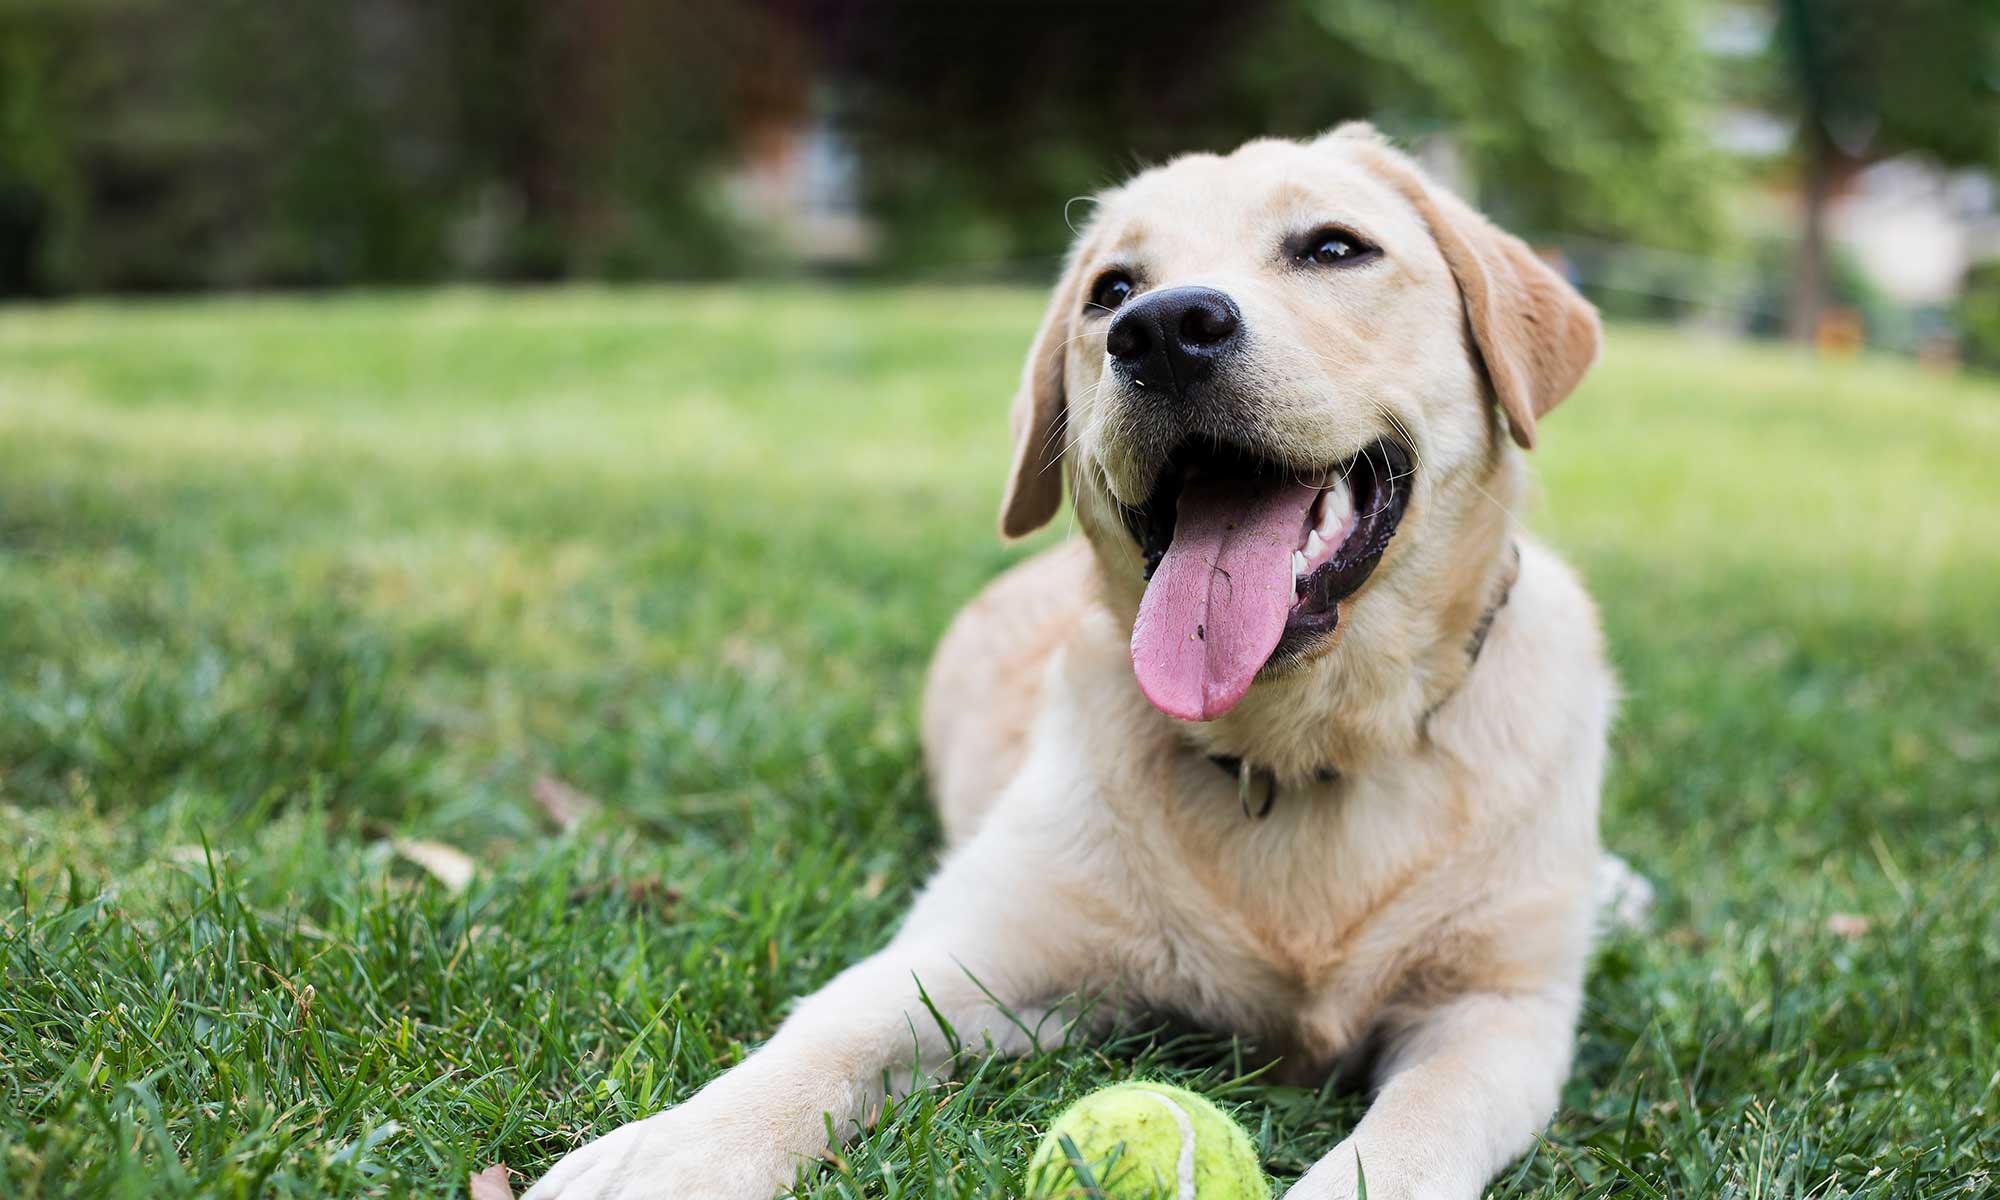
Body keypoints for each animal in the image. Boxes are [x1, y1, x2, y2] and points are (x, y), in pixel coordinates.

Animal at [532, 124, 1640, 1200]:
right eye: (1110, 288)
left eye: (1333, 248)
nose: (1162, 330)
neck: (1296, 749)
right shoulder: (982, 953)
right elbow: (831, 1030)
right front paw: (669, 1153)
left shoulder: (1498, 1014)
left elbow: (1414, 1130)